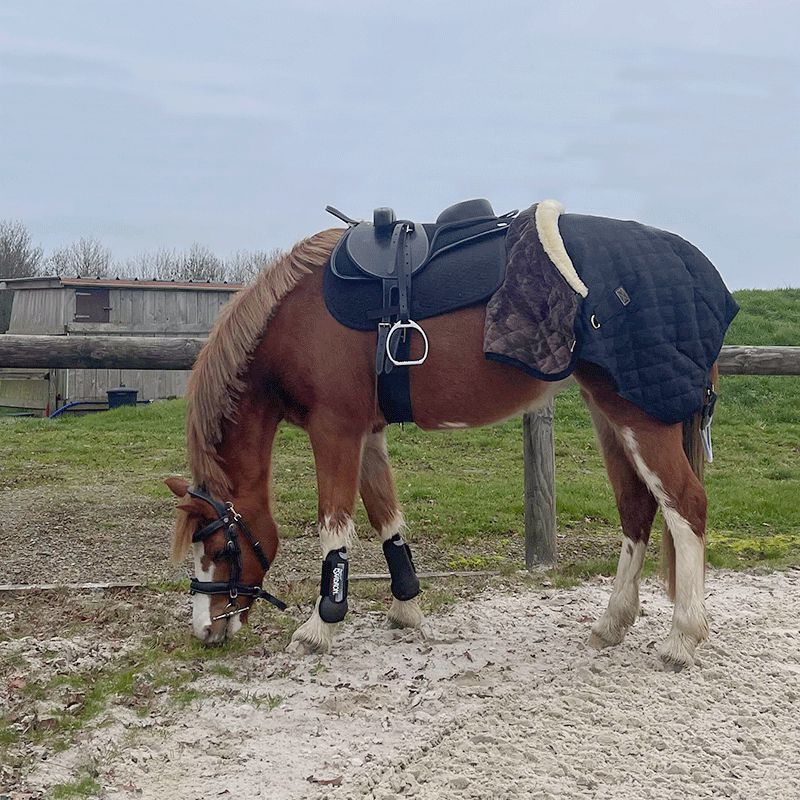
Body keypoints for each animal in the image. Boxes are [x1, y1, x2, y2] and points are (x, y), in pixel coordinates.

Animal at [166, 230, 708, 668]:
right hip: (609, 415)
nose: (205, 630)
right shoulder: (367, 435)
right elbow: (387, 519)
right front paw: (406, 607)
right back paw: (612, 623)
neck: (299, 321)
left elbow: (333, 528)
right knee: (637, 509)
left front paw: (322, 626)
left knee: (686, 506)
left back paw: (682, 638)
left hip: (641, 417)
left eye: (218, 547)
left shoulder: (335, 430)